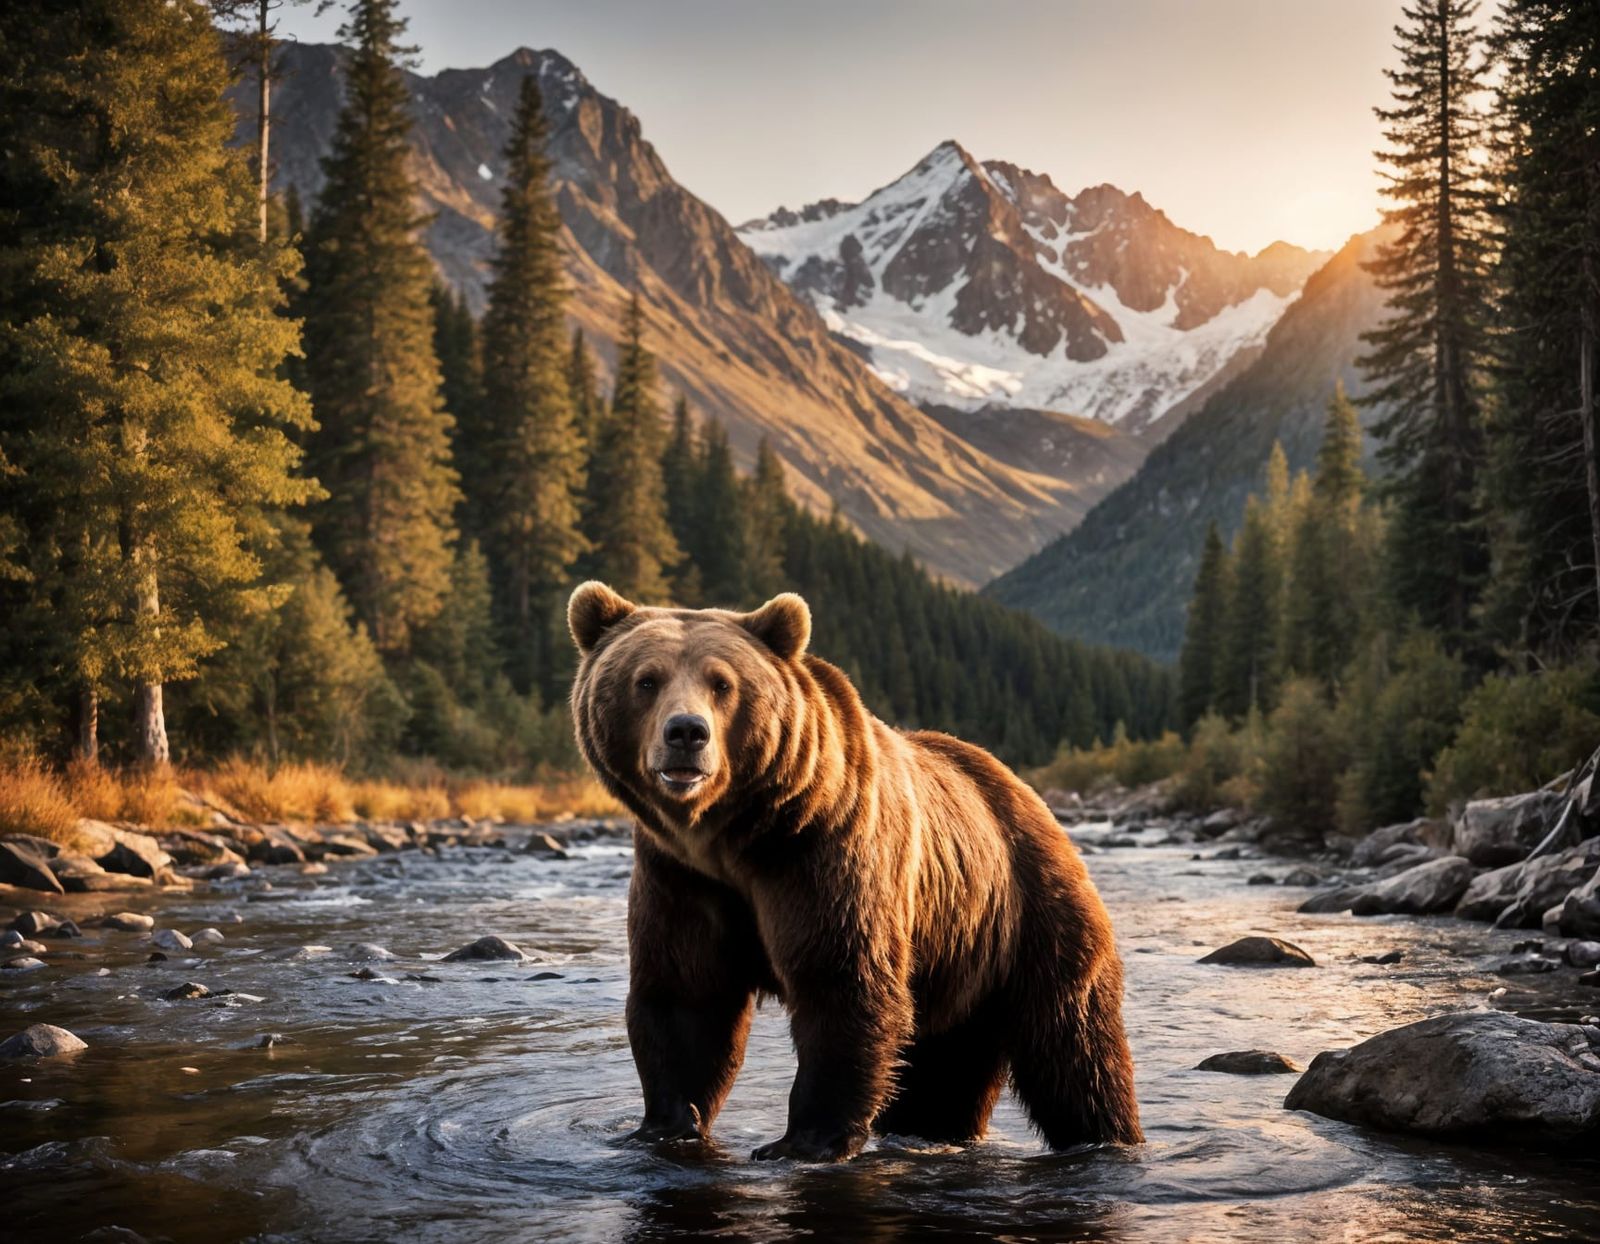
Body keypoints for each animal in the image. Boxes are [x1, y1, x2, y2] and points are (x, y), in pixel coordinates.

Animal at [567, 580, 1142, 1162]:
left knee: (1074, 1048)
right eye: (646, 679)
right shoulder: (679, 876)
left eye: (722, 682)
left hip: (1029, 916)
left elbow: (841, 980)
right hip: (958, 963)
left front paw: (803, 1140)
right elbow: (687, 994)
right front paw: (665, 1124)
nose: (687, 732)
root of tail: (1028, 797)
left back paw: (1106, 1136)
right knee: (942, 1074)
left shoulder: (822, 854)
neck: (733, 836)